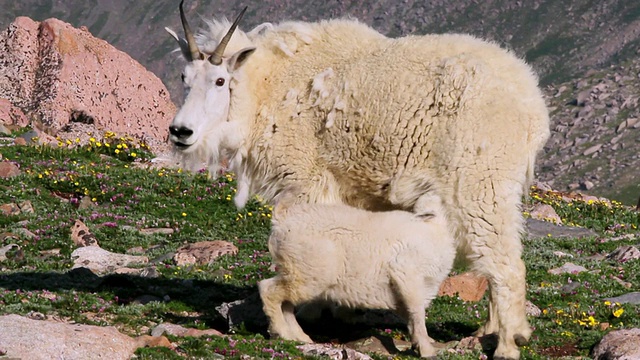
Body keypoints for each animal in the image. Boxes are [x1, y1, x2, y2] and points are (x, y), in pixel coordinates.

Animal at [258, 194, 456, 358]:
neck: (436, 230)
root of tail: (280, 220)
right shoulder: (407, 275)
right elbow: (416, 312)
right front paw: (426, 349)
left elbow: (410, 314)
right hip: (309, 273)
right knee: (269, 290)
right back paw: (281, 332)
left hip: (298, 270)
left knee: (286, 302)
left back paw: (298, 337)